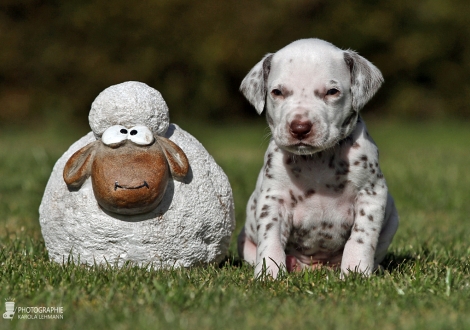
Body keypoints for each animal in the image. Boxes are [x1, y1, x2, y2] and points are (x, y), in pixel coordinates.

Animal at [237, 38, 398, 278]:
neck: (317, 160)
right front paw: (269, 275)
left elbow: (360, 239)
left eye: (332, 91)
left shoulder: (371, 194)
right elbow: (271, 239)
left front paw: (356, 273)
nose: (300, 127)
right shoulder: (273, 199)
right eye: (277, 92)